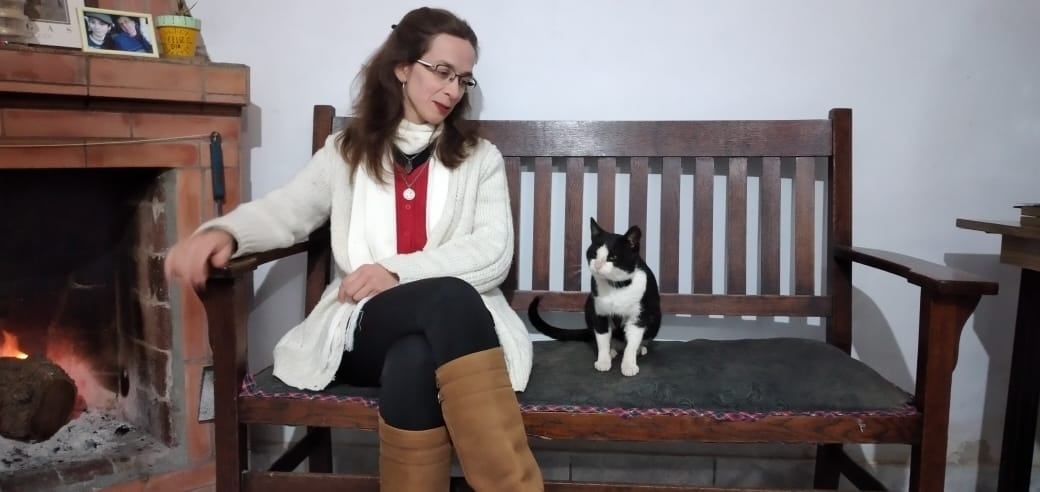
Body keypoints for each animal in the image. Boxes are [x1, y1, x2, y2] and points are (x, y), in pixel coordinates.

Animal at [527, 217, 662, 376]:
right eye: (594, 254)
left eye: (612, 257)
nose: (597, 265)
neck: (616, 287)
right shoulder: (598, 311)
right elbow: (602, 338)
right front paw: (603, 361)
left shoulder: (639, 315)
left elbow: (633, 341)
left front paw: (629, 365)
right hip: (588, 305)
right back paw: (612, 349)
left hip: (655, 316)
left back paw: (640, 348)